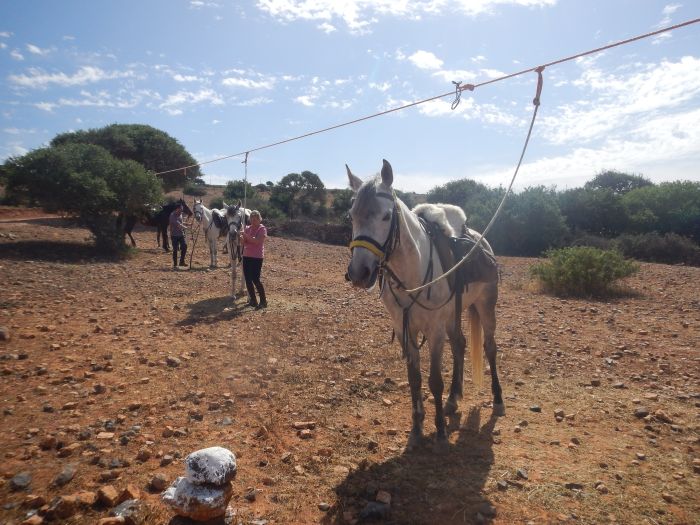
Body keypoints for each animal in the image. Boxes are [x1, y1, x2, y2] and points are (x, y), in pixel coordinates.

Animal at [346, 160, 504, 450]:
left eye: (386, 216)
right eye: (352, 216)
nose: (359, 273)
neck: (413, 271)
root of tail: (481, 240)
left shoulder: (434, 330)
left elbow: (434, 380)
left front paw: (440, 431)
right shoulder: (405, 329)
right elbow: (415, 377)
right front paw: (417, 425)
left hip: (486, 306)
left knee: (490, 348)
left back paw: (498, 400)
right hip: (454, 315)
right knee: (460, 344)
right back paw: (453, 400)